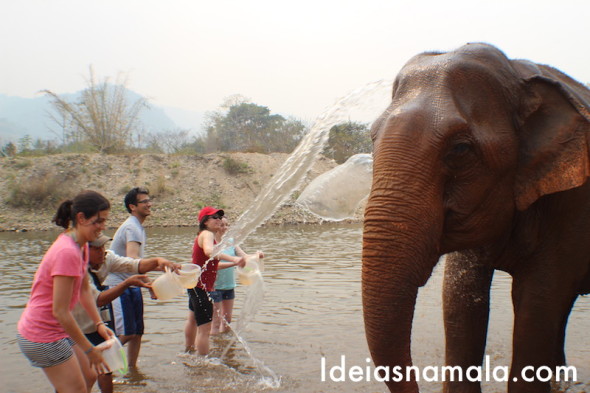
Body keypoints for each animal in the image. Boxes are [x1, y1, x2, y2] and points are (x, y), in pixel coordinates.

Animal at [364, 43, 590, 392]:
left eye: (460, 149)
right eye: (371, 138)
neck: (516, 73)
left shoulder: (572, 201)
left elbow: (537, 300)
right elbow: (460, 296)